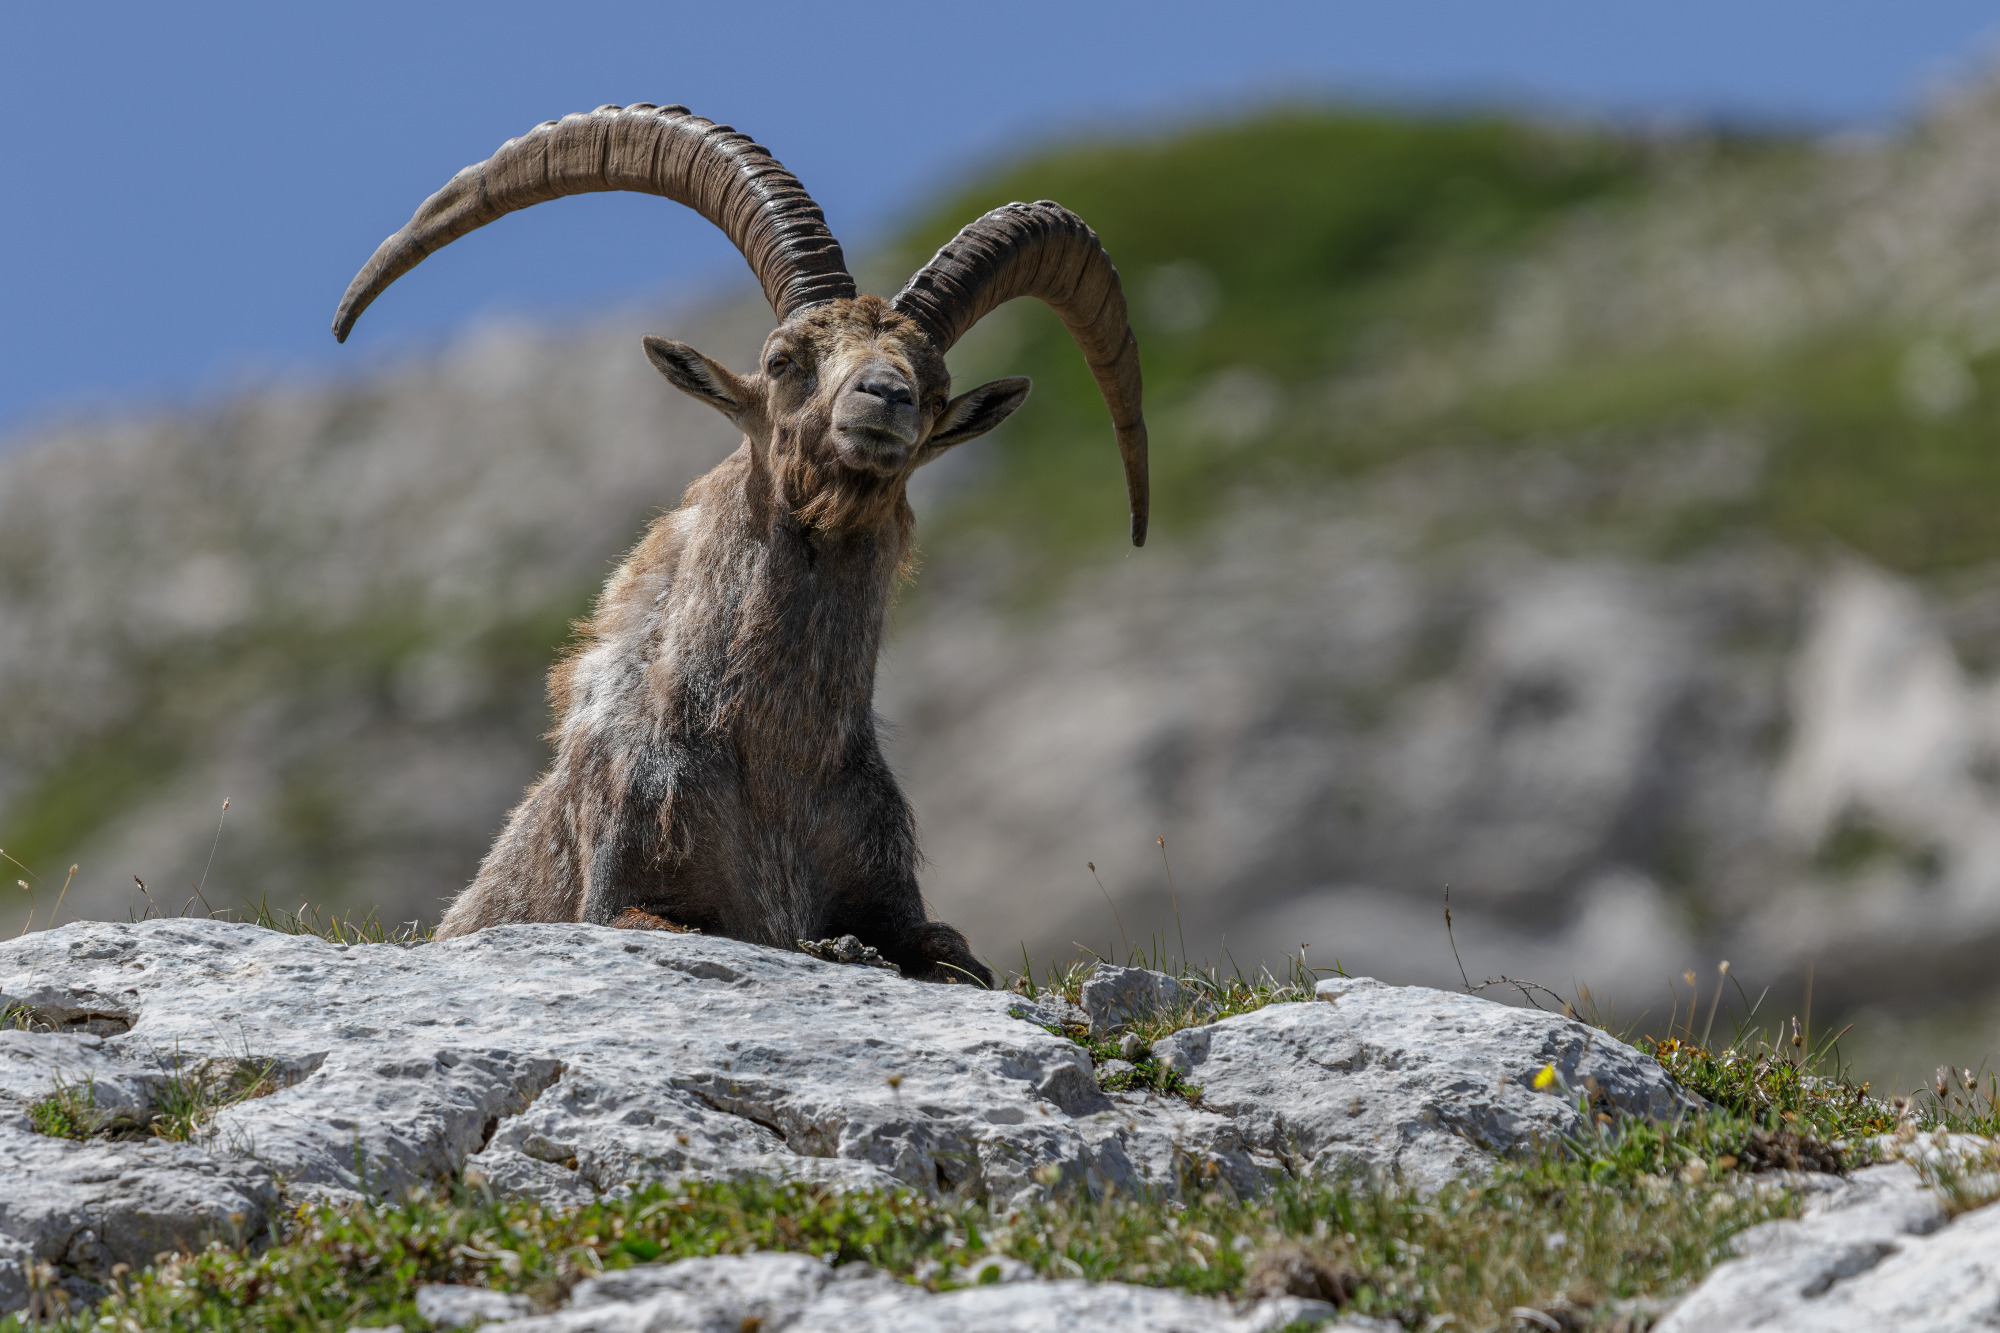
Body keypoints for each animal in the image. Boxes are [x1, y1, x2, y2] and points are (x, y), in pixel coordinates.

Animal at [332, 104, 1147, 984]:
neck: (775, 763)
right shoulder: (620, 898)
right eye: (783, 360)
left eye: (935, 392)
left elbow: (947, 954)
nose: (886, 397)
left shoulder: (899, 902)